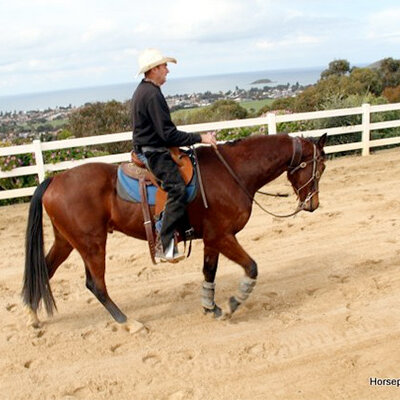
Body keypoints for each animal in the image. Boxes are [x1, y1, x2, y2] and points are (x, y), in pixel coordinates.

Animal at [21, 133, 326, 326]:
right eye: (319, 166)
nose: (313, 205)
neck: (232, 172)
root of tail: (54, 180)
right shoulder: (223, 236)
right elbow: (251, 267)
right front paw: (232, 304)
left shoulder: (212, 239)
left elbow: (209, 271)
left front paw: (210, 306)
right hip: (91, 243)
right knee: (95, 284)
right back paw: (128, 322)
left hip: (67, 241)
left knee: (44, 271)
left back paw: (32, 315)